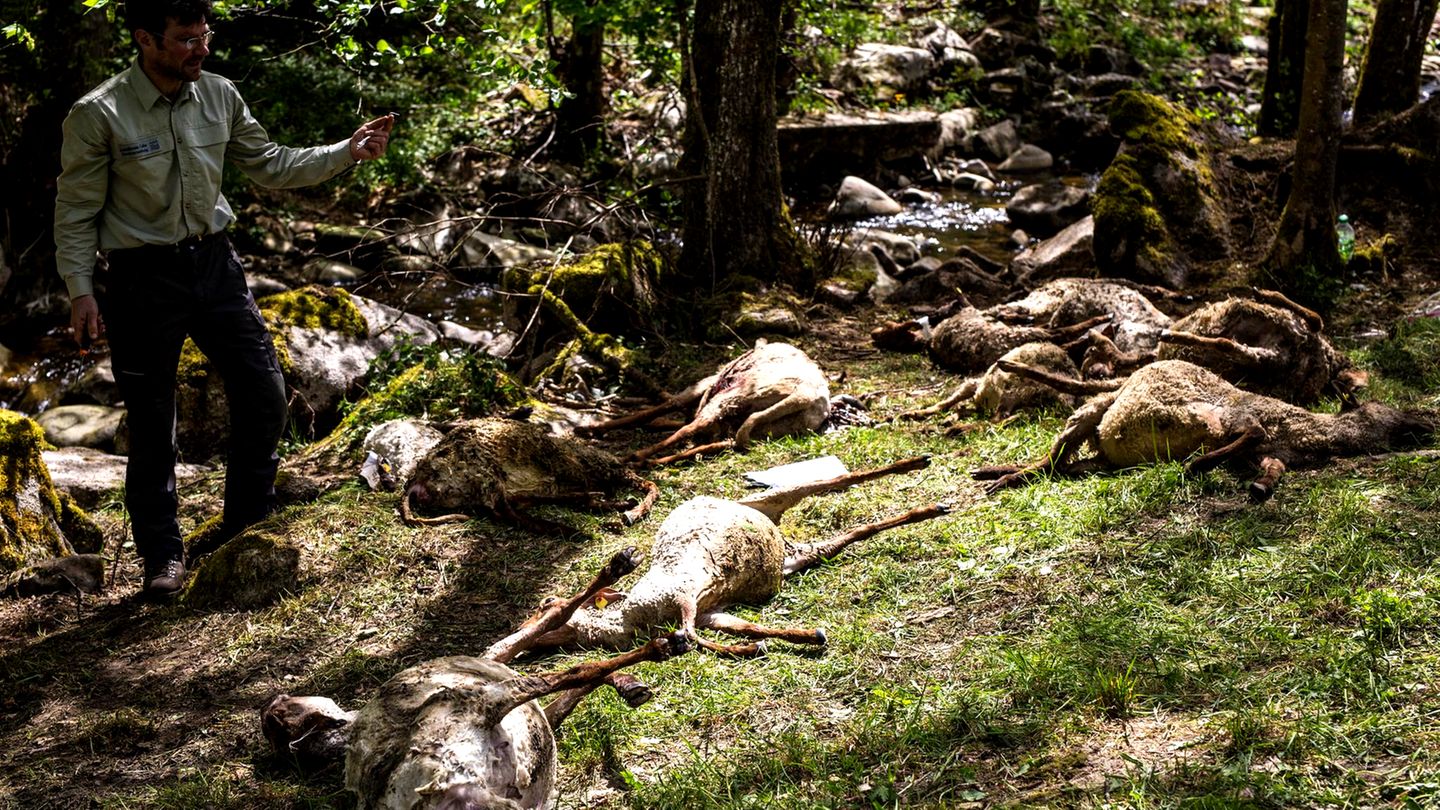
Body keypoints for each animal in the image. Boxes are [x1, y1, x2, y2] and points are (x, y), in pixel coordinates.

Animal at [261, 548, 694, 809]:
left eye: (282, 710)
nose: (275, 699)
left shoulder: (503, 681)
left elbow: (548, 643)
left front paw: (631, 687)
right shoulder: (488, 685)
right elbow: (563, 651)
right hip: (484, 704)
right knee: (568, 669)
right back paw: (664, 644)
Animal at [526, 456, 949, 655]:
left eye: (545, 604)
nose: (528, 638)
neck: (627, 618)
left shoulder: (685, 594)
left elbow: (693, 634)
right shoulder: (708, 610)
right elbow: (738, 628)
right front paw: (800, 637)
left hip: (767, 503)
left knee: (836, 482)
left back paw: (920, 468)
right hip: (794, 553)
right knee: (850, 529)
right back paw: (932, 506)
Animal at [584, 340, 831, 465]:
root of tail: (806, 397)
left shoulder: (703, 386)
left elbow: (663, 408)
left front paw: (596, 427)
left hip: (735, 398)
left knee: (691, 428)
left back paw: (636, 456)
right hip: (762, 429)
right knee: (715, 442)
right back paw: (652, 461)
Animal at [974, 359, 1434, 500]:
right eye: (1390, 408)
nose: (1430, 423)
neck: (1304, 432)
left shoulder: (1268, 454)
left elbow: (1268, 468)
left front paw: (1259, 488)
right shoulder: (1231, 418)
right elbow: (1246, 433)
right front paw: (1196, 466)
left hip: (1103, 460)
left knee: (1062, 467)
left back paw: (998, 472)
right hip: (1092, 414)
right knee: (1053, 458)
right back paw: (1001, 477)